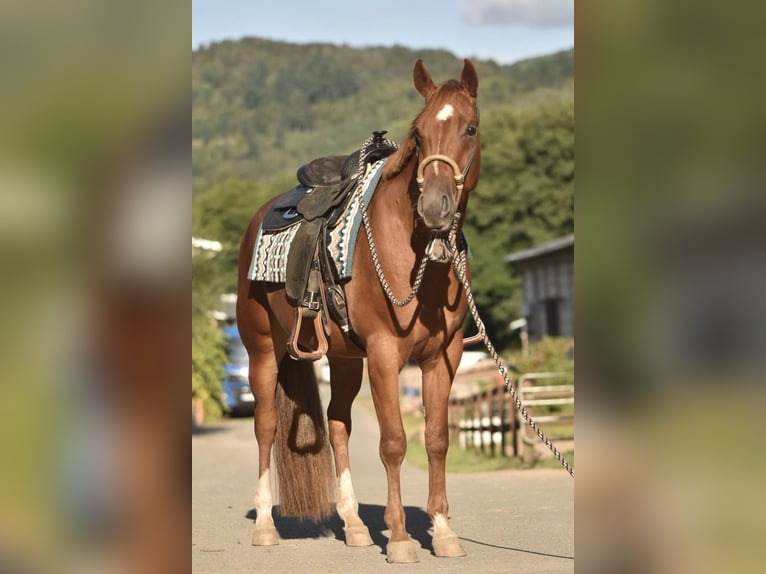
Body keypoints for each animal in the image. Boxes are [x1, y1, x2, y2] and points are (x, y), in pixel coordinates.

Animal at [237, 59, 484, 568]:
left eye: (469, 128)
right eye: (419, 134)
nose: (434, 207)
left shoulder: (442, 358)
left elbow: (436, 439)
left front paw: (443, 531)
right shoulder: (386, 356)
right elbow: (394, 443)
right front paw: (402, 538)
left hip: (345, 358)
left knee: (337, 425)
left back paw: (352, 525)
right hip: (262, 352)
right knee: (266, 427)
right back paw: (266, 526)